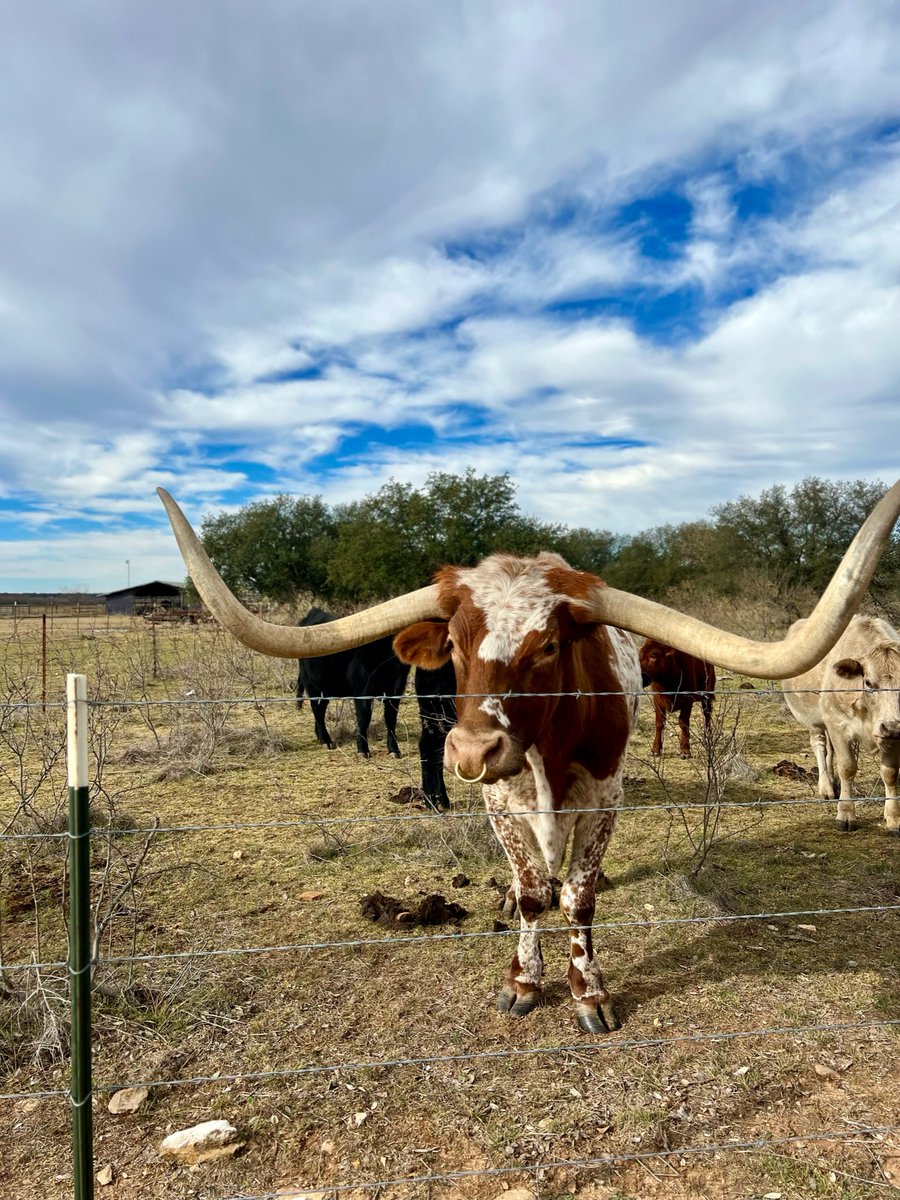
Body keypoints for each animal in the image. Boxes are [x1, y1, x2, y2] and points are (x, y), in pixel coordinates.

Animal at [783, 614, 900, 834]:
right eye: (868, 683)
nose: (892, 726)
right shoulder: (837, 724)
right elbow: (847, 767)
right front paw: (845, 814)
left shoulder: (891, 736)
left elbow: (890, 773)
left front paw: (893, 818)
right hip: (815, 721)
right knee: (820, 746)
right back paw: (826, 787)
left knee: (829, 751)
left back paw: (832, 782)